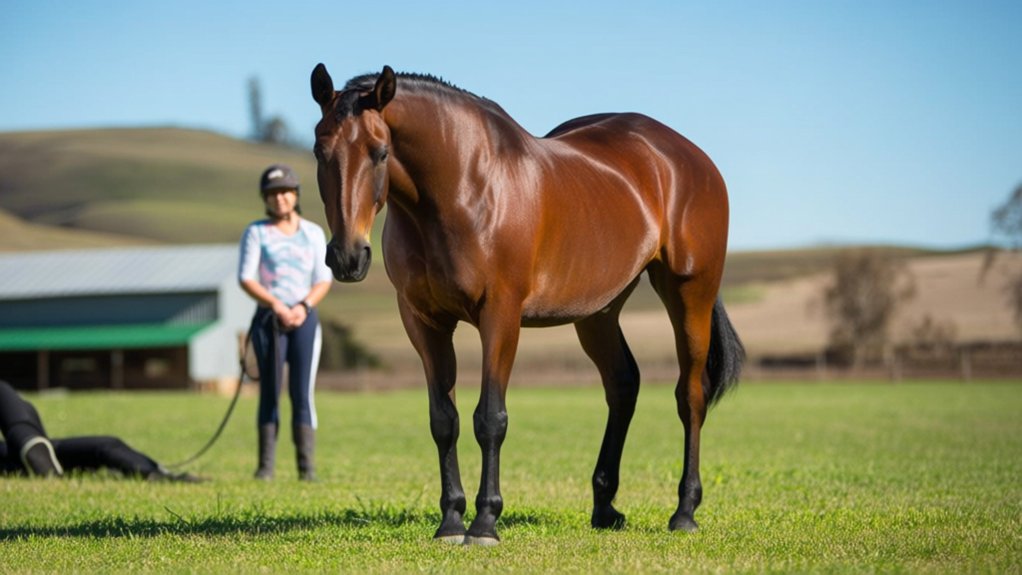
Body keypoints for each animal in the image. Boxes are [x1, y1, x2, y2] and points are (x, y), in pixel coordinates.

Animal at [310, 64, 744, 545]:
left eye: (381, 152)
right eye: (318, 150)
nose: (348, 257)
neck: (463, 188)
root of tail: (689, 157)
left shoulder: (500, 316)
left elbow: (490, 418)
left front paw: (485, 522)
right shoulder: (423, 321)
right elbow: (444, 420)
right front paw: (451, 521)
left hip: (690, 294)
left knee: (690, 396)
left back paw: (684, 511)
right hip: (599, 313)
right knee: (623, 384)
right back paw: (604, 507)